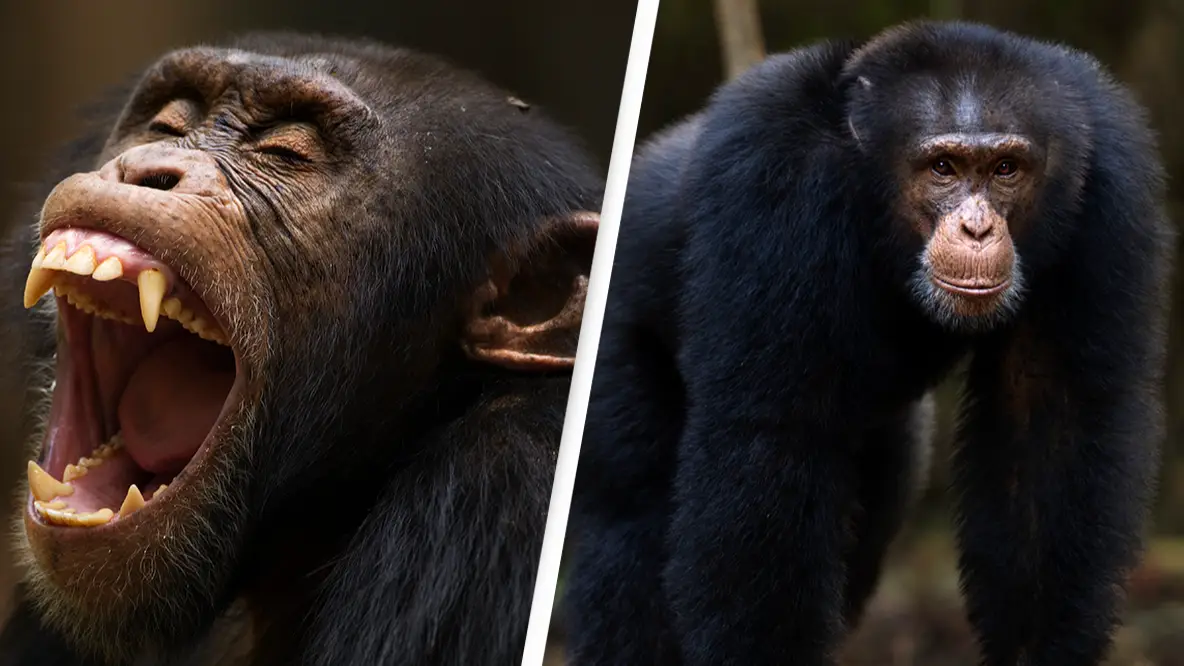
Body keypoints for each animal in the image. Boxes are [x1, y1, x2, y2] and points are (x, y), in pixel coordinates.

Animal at [565, 21, 1173, 666]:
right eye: (943, 167)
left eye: (1006, 168)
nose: (978, 227)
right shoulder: (773, 182)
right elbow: (772, 439)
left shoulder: (1110, 182)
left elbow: (1047, 425)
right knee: (631, 518)